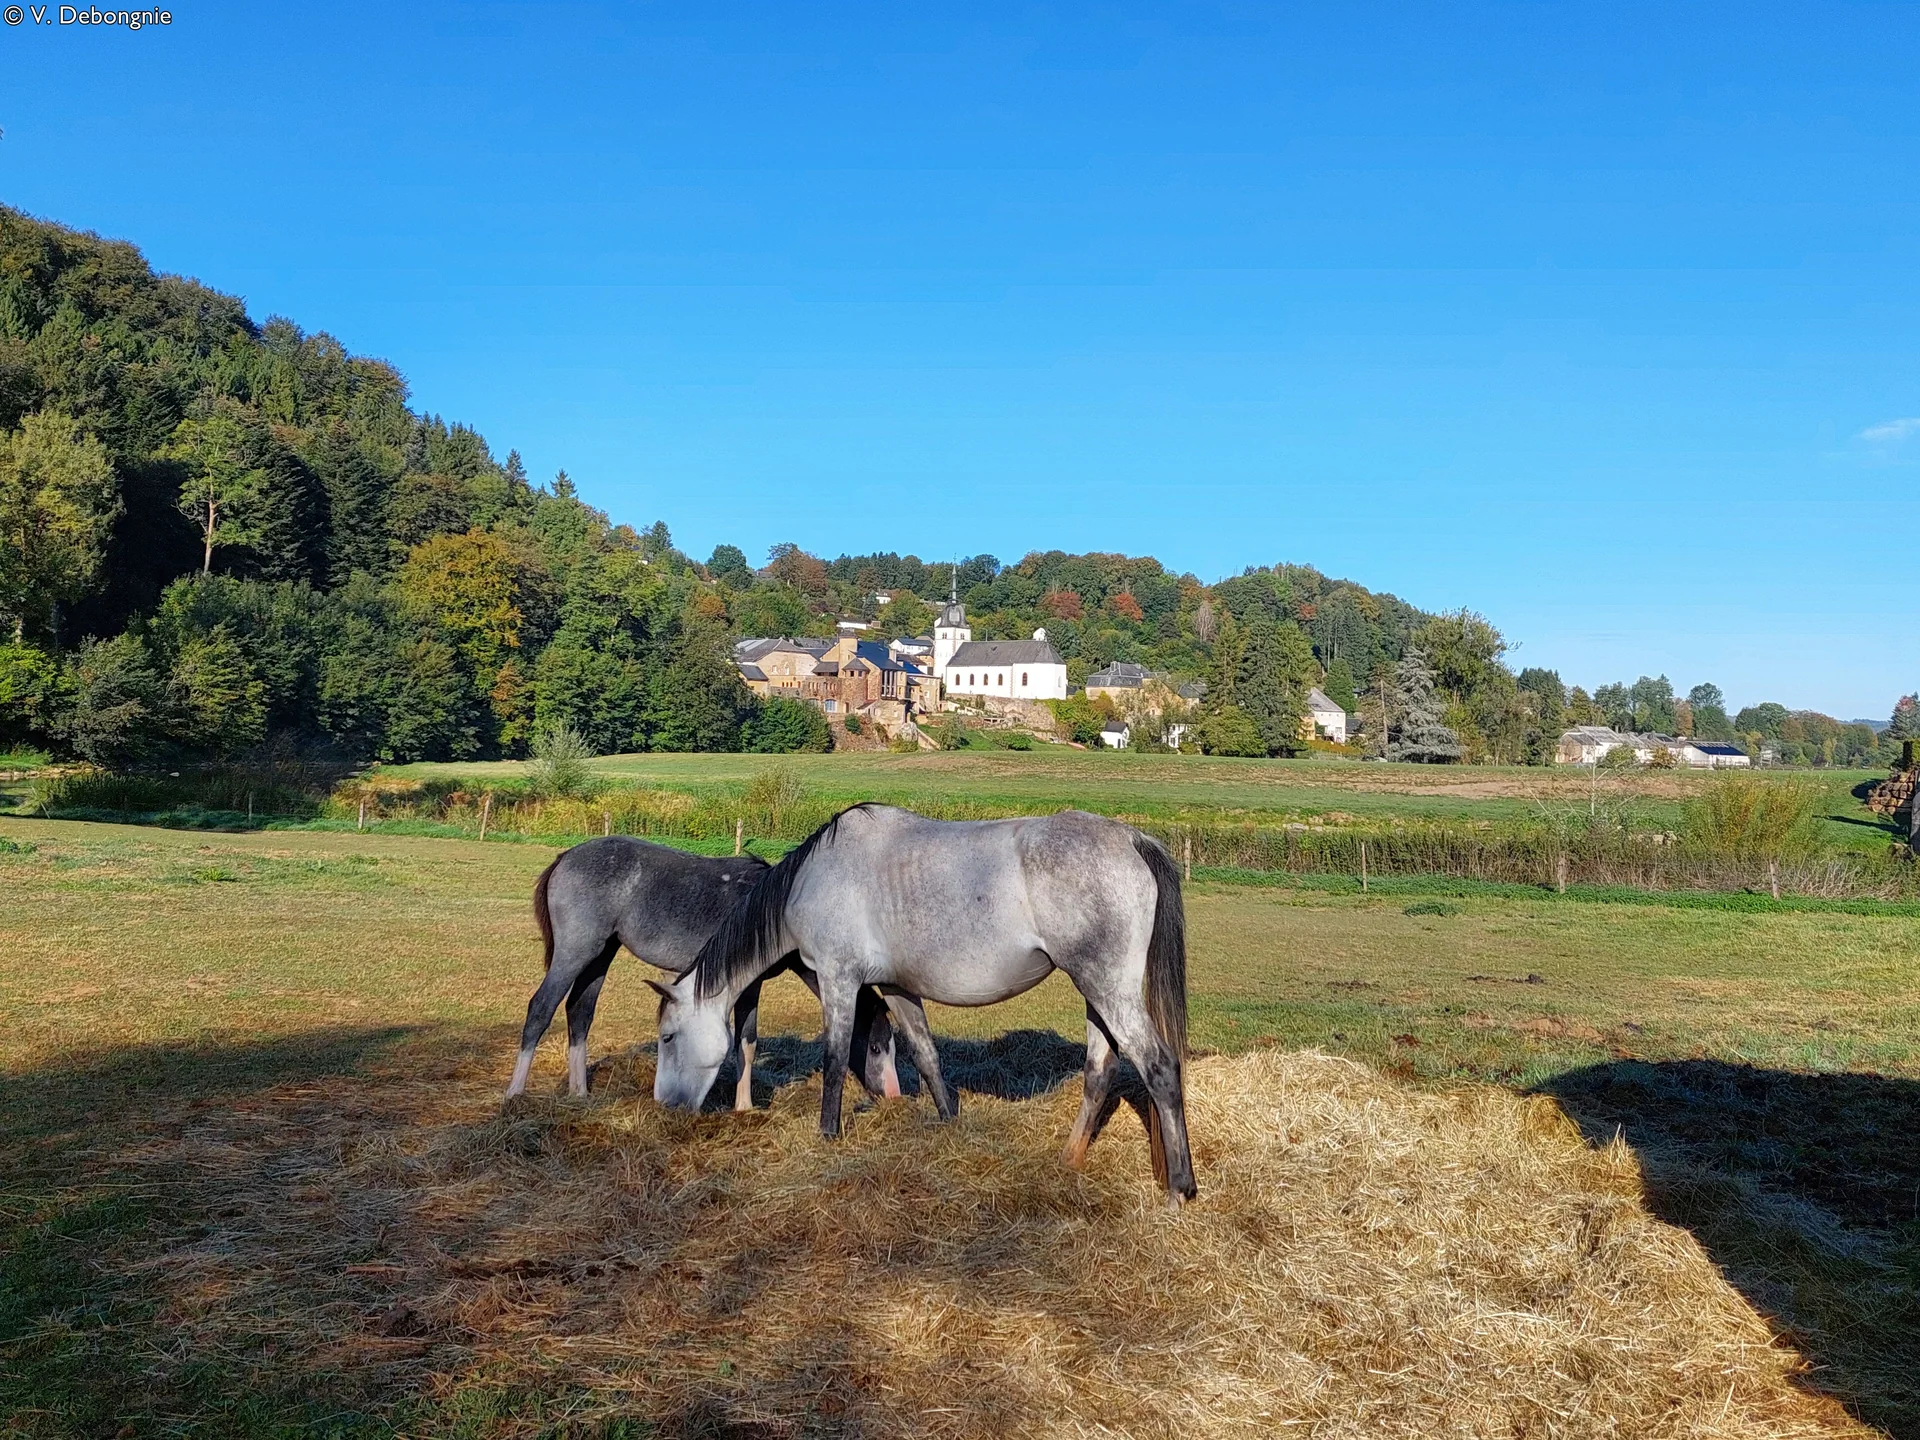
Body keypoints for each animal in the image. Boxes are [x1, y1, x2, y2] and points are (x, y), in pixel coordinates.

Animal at [506, 835, 900, 1107]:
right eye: (876, 1046)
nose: (894, 1094)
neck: (774, 913)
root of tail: (565, 857)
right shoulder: (746, 984)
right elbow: (746, 1041)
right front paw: (744, 1107)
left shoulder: (749, 986)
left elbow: (746, 1043)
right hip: (574, 952)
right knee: (541, 1008)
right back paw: (514, 1094)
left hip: (601, 954)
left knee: (580, 1011)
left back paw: (580, 1094)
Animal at [650, 805, 1197, 1204]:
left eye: (668, 1037)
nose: (666, 1108)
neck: (813, 878)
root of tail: (1131, 839)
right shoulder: (897, 988)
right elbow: (926, 1053)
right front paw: (949, 1120)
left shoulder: (838, 979)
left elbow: (834, 1059)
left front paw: (827, 1134)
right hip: (1094, 992)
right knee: (1100, 1070)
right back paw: (1069, 1160)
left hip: (1108, 987)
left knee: (1159, 1066)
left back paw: (1179, 1188)